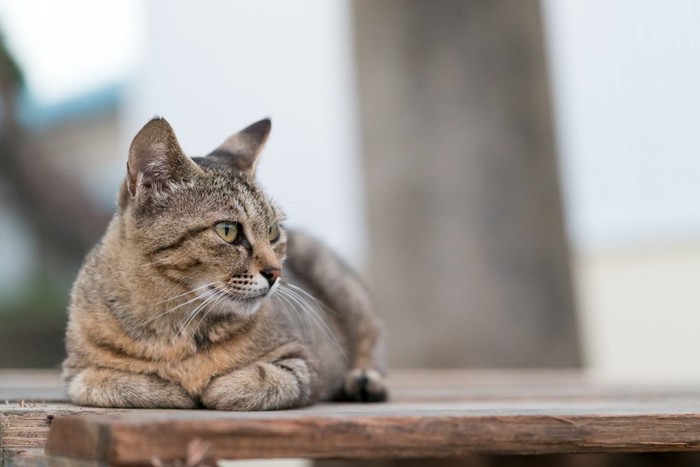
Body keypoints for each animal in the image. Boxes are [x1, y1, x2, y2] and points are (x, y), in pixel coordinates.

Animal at [61, 118, 388, 410]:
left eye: (273, 231)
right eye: (228, 230)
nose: (276, 273)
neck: (175, 326)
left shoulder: (307, 361)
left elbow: (270, 379)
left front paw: (216, 387)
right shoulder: (76, 370)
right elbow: (105, 381)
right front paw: (173, 388)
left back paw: (363, 380)